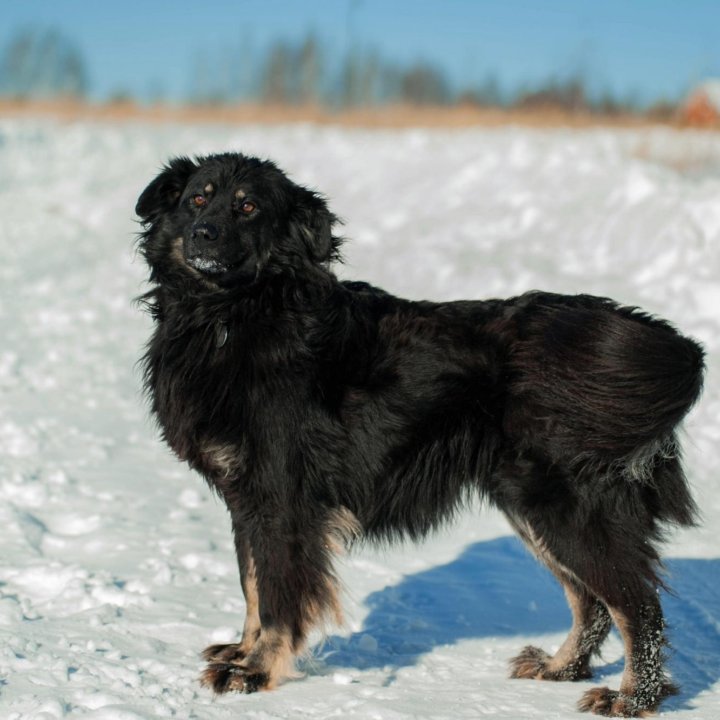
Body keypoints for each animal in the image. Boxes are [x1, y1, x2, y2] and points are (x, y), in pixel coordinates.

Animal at [135, 152, 704, 716]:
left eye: (248, 207)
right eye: (197, 199)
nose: (203, 234)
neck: (235, 315)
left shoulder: (284, 500)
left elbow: (276, 596)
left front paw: (254, 670)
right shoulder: (246, 499)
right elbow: (252, 585)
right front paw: (241, 651)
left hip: (563, 505)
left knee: (637, 606)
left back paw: (633, 697)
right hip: (530, 506)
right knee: (592, 602)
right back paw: (561, 668)